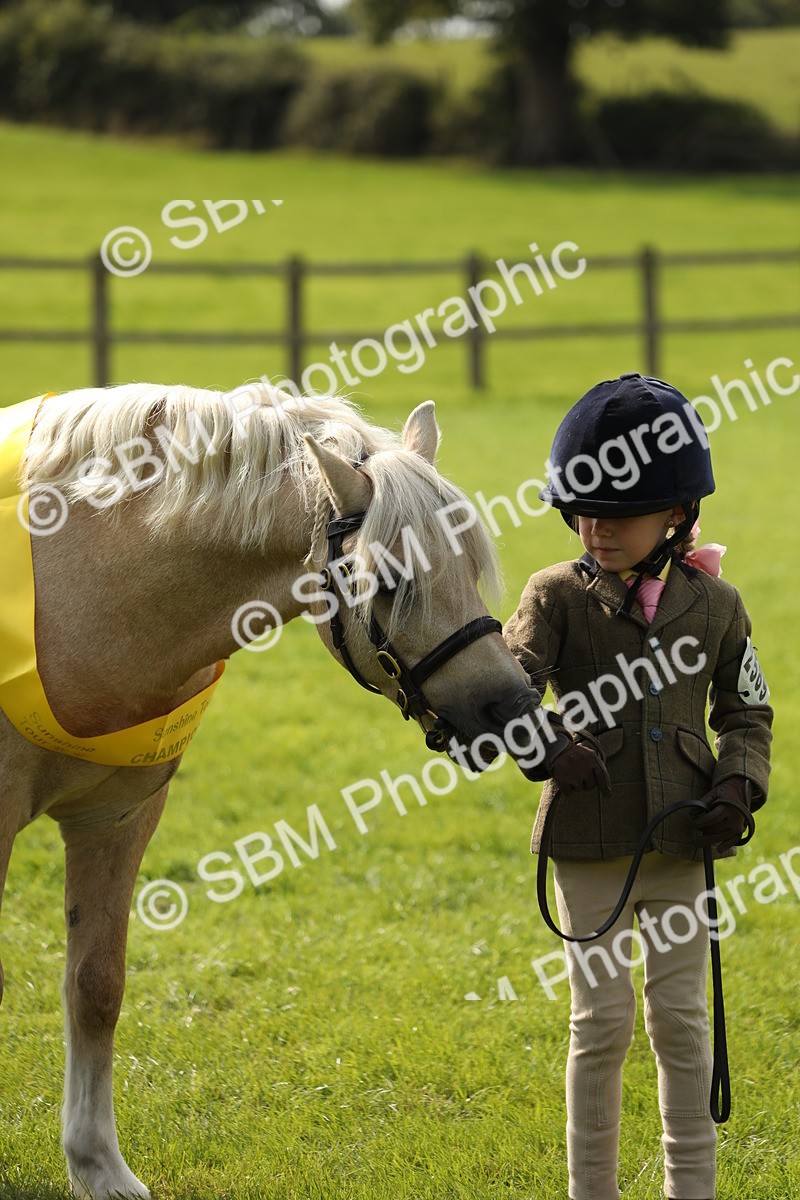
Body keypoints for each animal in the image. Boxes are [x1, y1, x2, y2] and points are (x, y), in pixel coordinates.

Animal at [0, 382, 539, 1200]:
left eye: (469, 566)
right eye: (392, 582)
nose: (510, 706)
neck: (82, 591)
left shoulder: (117, 819)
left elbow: (96, 986)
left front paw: (99, 1167)